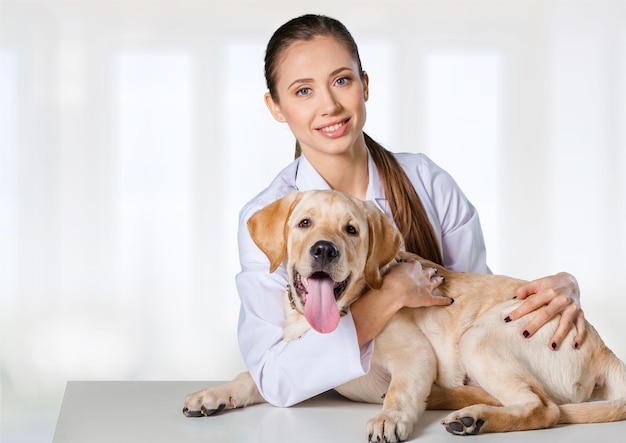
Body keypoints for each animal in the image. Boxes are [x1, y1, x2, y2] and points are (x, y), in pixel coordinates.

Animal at [183, 191, 624, 443]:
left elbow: (400, 390)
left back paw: (472, 417)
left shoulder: (415, 355)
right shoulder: (293, 371)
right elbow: (251, 376)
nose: (325, 249)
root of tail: (604, 349)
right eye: (304, 223)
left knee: (544, 408)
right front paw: (212, 394)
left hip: (481, 335)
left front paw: (389, 419)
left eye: (352, 230)